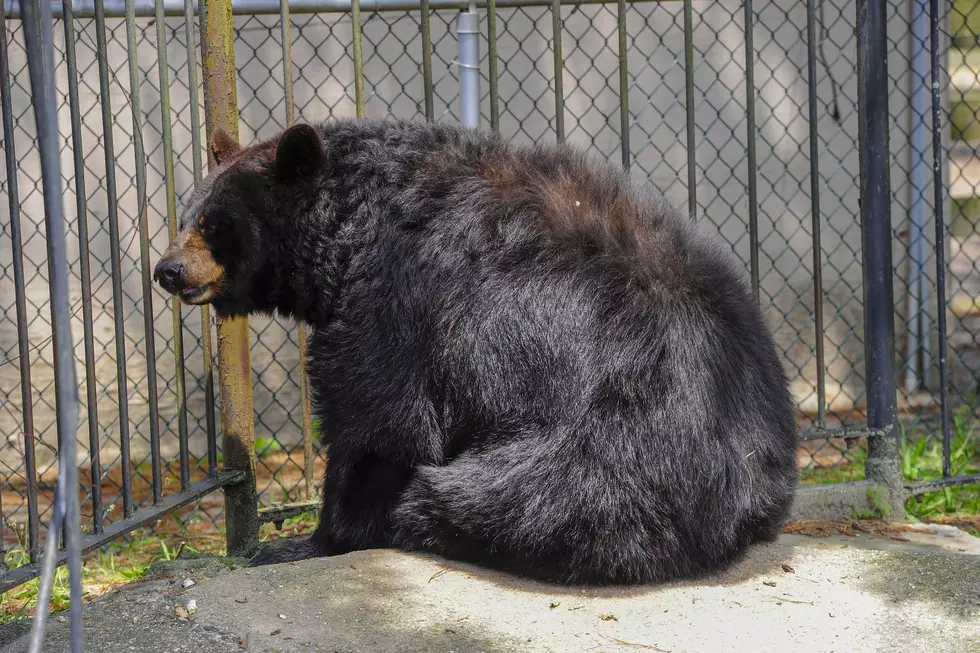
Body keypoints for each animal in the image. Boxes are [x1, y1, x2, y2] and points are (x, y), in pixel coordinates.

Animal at [153, 118, 796, 584]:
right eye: (187, 215)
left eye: (213, 224)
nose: (167, 270)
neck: (347, 228)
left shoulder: (397, 296)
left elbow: (381, 418)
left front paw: (306, 542)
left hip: (599, 462)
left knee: (494, 499)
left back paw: (421, 521)